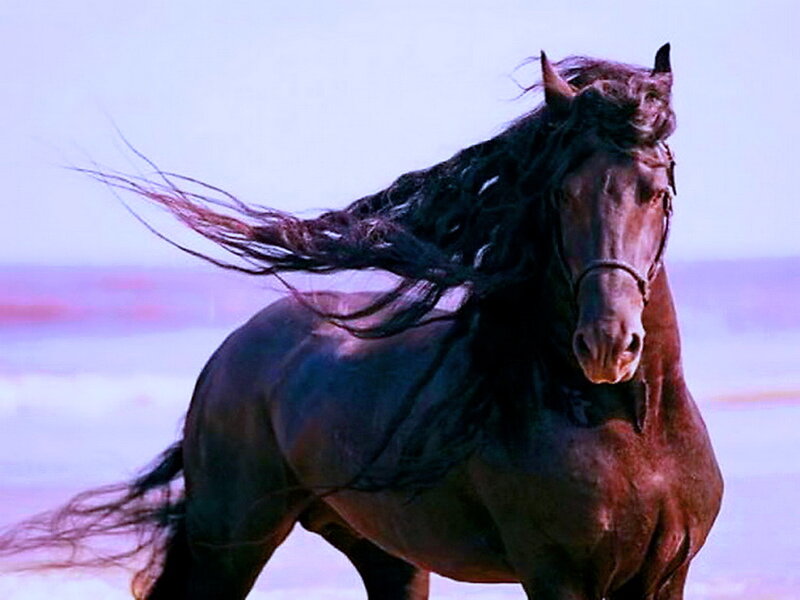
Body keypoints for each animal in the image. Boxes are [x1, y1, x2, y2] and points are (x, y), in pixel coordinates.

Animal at [2, 44, 722, 599]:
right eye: (562, 193)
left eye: (656, 189)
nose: (607, 344)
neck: (629, 427)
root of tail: (232, 352)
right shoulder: (558, 577)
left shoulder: (664, 578)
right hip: (230, 542)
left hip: (387, 556)